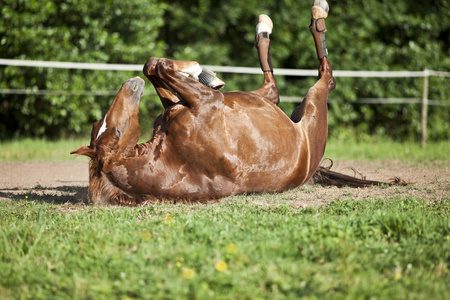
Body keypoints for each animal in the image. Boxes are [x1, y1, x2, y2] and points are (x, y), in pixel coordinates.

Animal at [70, 3, 338, 205]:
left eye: (103, 125)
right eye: (117, 131)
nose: (131, 84)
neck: (173, 158)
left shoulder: (176, 105)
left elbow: (153, 65)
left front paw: (200, 73)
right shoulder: (209, 101)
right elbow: (161, 65)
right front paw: (200, 72)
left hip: (258, 98)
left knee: (273, 87)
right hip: (312, 105)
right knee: (320, 78)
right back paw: (312, 14)